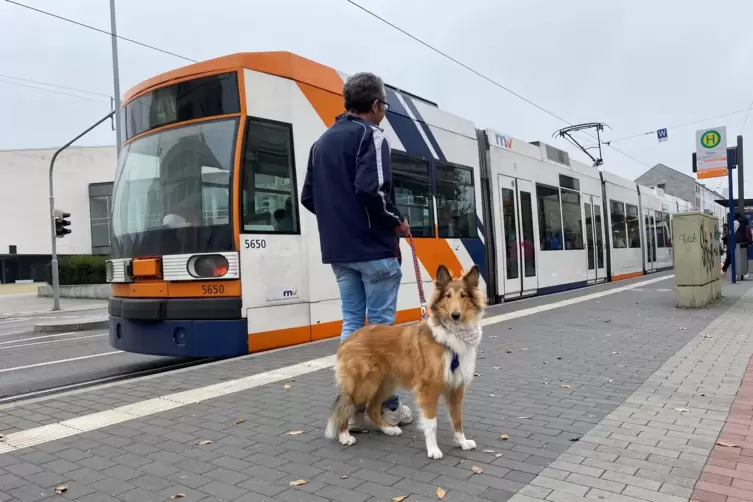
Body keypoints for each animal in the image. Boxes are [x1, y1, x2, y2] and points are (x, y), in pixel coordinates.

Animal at [326, 264, 484, 460]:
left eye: (463, 295)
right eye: (448, 295)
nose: (455, 315)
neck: (452, 334)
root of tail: (349, 338)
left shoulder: (456, 387)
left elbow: (457, 418)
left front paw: (462, 442)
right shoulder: (429, 388)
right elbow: (432, 423)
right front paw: (433, 450)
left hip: (385, 384)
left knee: (371, 409)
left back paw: (389, 429)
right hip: (365, 385)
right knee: (346, 404)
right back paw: (344, 435)